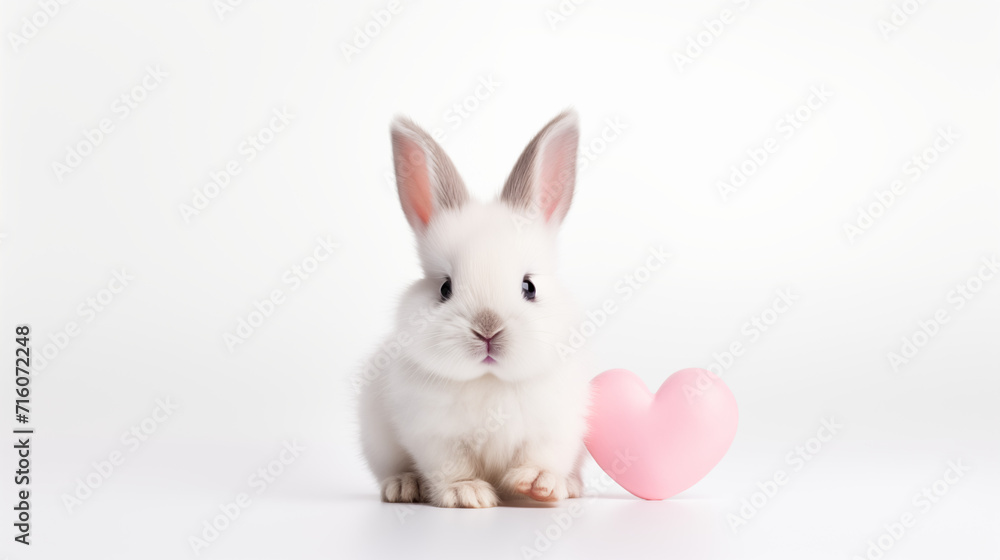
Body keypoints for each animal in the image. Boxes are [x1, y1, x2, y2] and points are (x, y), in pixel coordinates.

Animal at [357, 110, 592, 508]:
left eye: (528, 287)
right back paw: (403, 486)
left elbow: (541, 457)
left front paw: (538, 484)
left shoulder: (554, 427)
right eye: (444, 288)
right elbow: (452, 467)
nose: (487, 329)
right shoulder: (435, 437)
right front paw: (468, 494)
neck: (490, 380)